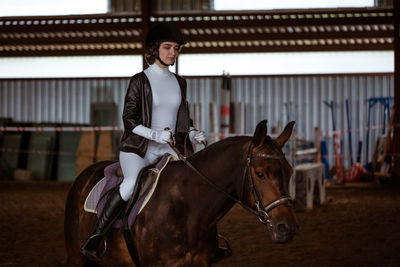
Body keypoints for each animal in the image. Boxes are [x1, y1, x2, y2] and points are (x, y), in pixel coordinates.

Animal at [65, 120, 296, 266]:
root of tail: (85, 174)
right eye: (260, 174)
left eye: (289, 171)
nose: (287, 228)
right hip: (76, 256)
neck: (189, 209)